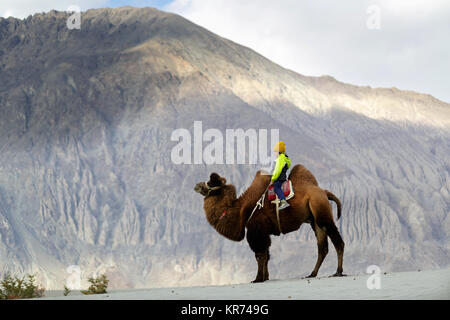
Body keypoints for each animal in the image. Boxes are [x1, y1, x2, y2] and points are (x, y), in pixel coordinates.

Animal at [193, 165, 344, 282]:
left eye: (211, 182)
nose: (197, 185)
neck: (240, 210)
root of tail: (324, 192)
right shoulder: (263, 232)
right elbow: (266, 255)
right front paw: (265, 277)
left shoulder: (256, 229)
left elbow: (260, 254)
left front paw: (258, 279)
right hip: (315, 219)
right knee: (322, 247)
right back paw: (312, 273)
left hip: (321, 211)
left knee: (337, 241)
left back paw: (338, 272)